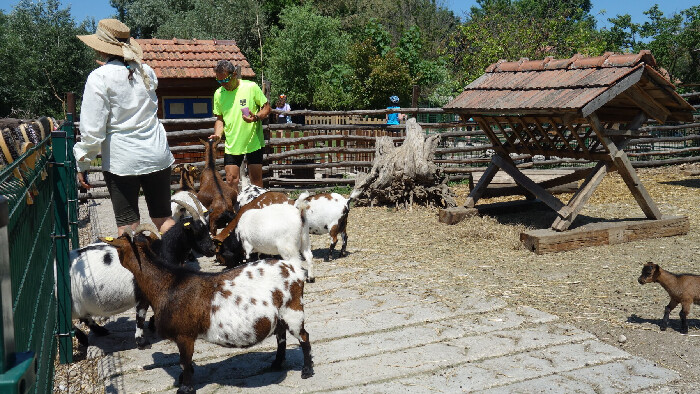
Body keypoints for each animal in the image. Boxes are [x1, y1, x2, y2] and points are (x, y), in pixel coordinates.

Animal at [101, 231, 314, 394]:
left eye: (118, 246)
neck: (168, 284)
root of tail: (295, 270)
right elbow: (186, 363)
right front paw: (183, 380)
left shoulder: (185, 335)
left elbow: (184, 361)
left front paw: (185, 388)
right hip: (280, 314)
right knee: (281, 335)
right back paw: (277, 364)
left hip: (293, 309)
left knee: (304, 337)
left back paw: (307, 370)